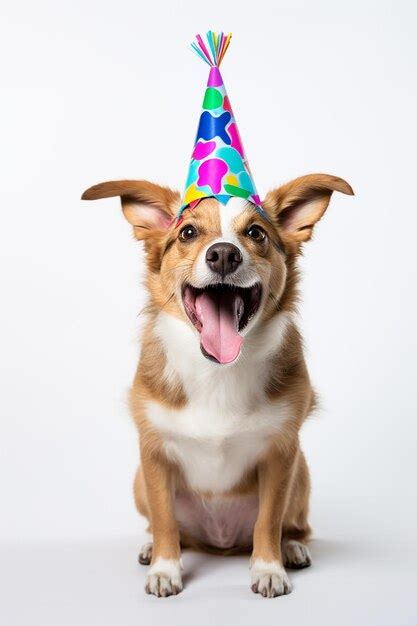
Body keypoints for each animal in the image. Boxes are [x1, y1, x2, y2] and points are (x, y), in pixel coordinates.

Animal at [80, 173, 352, 596]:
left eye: (256, 233)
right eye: (188, 232)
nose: (223, 254)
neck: (218, 372)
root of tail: (220, 543)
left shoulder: (281, 455)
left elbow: (268, 520)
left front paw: (268, 568)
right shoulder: (153, 455)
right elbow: (164, 519)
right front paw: (164, 569)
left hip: (301, 474)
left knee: (295, 526)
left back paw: (292, 549)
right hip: (139, 482)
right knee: (169, 528)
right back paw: (151, 548)